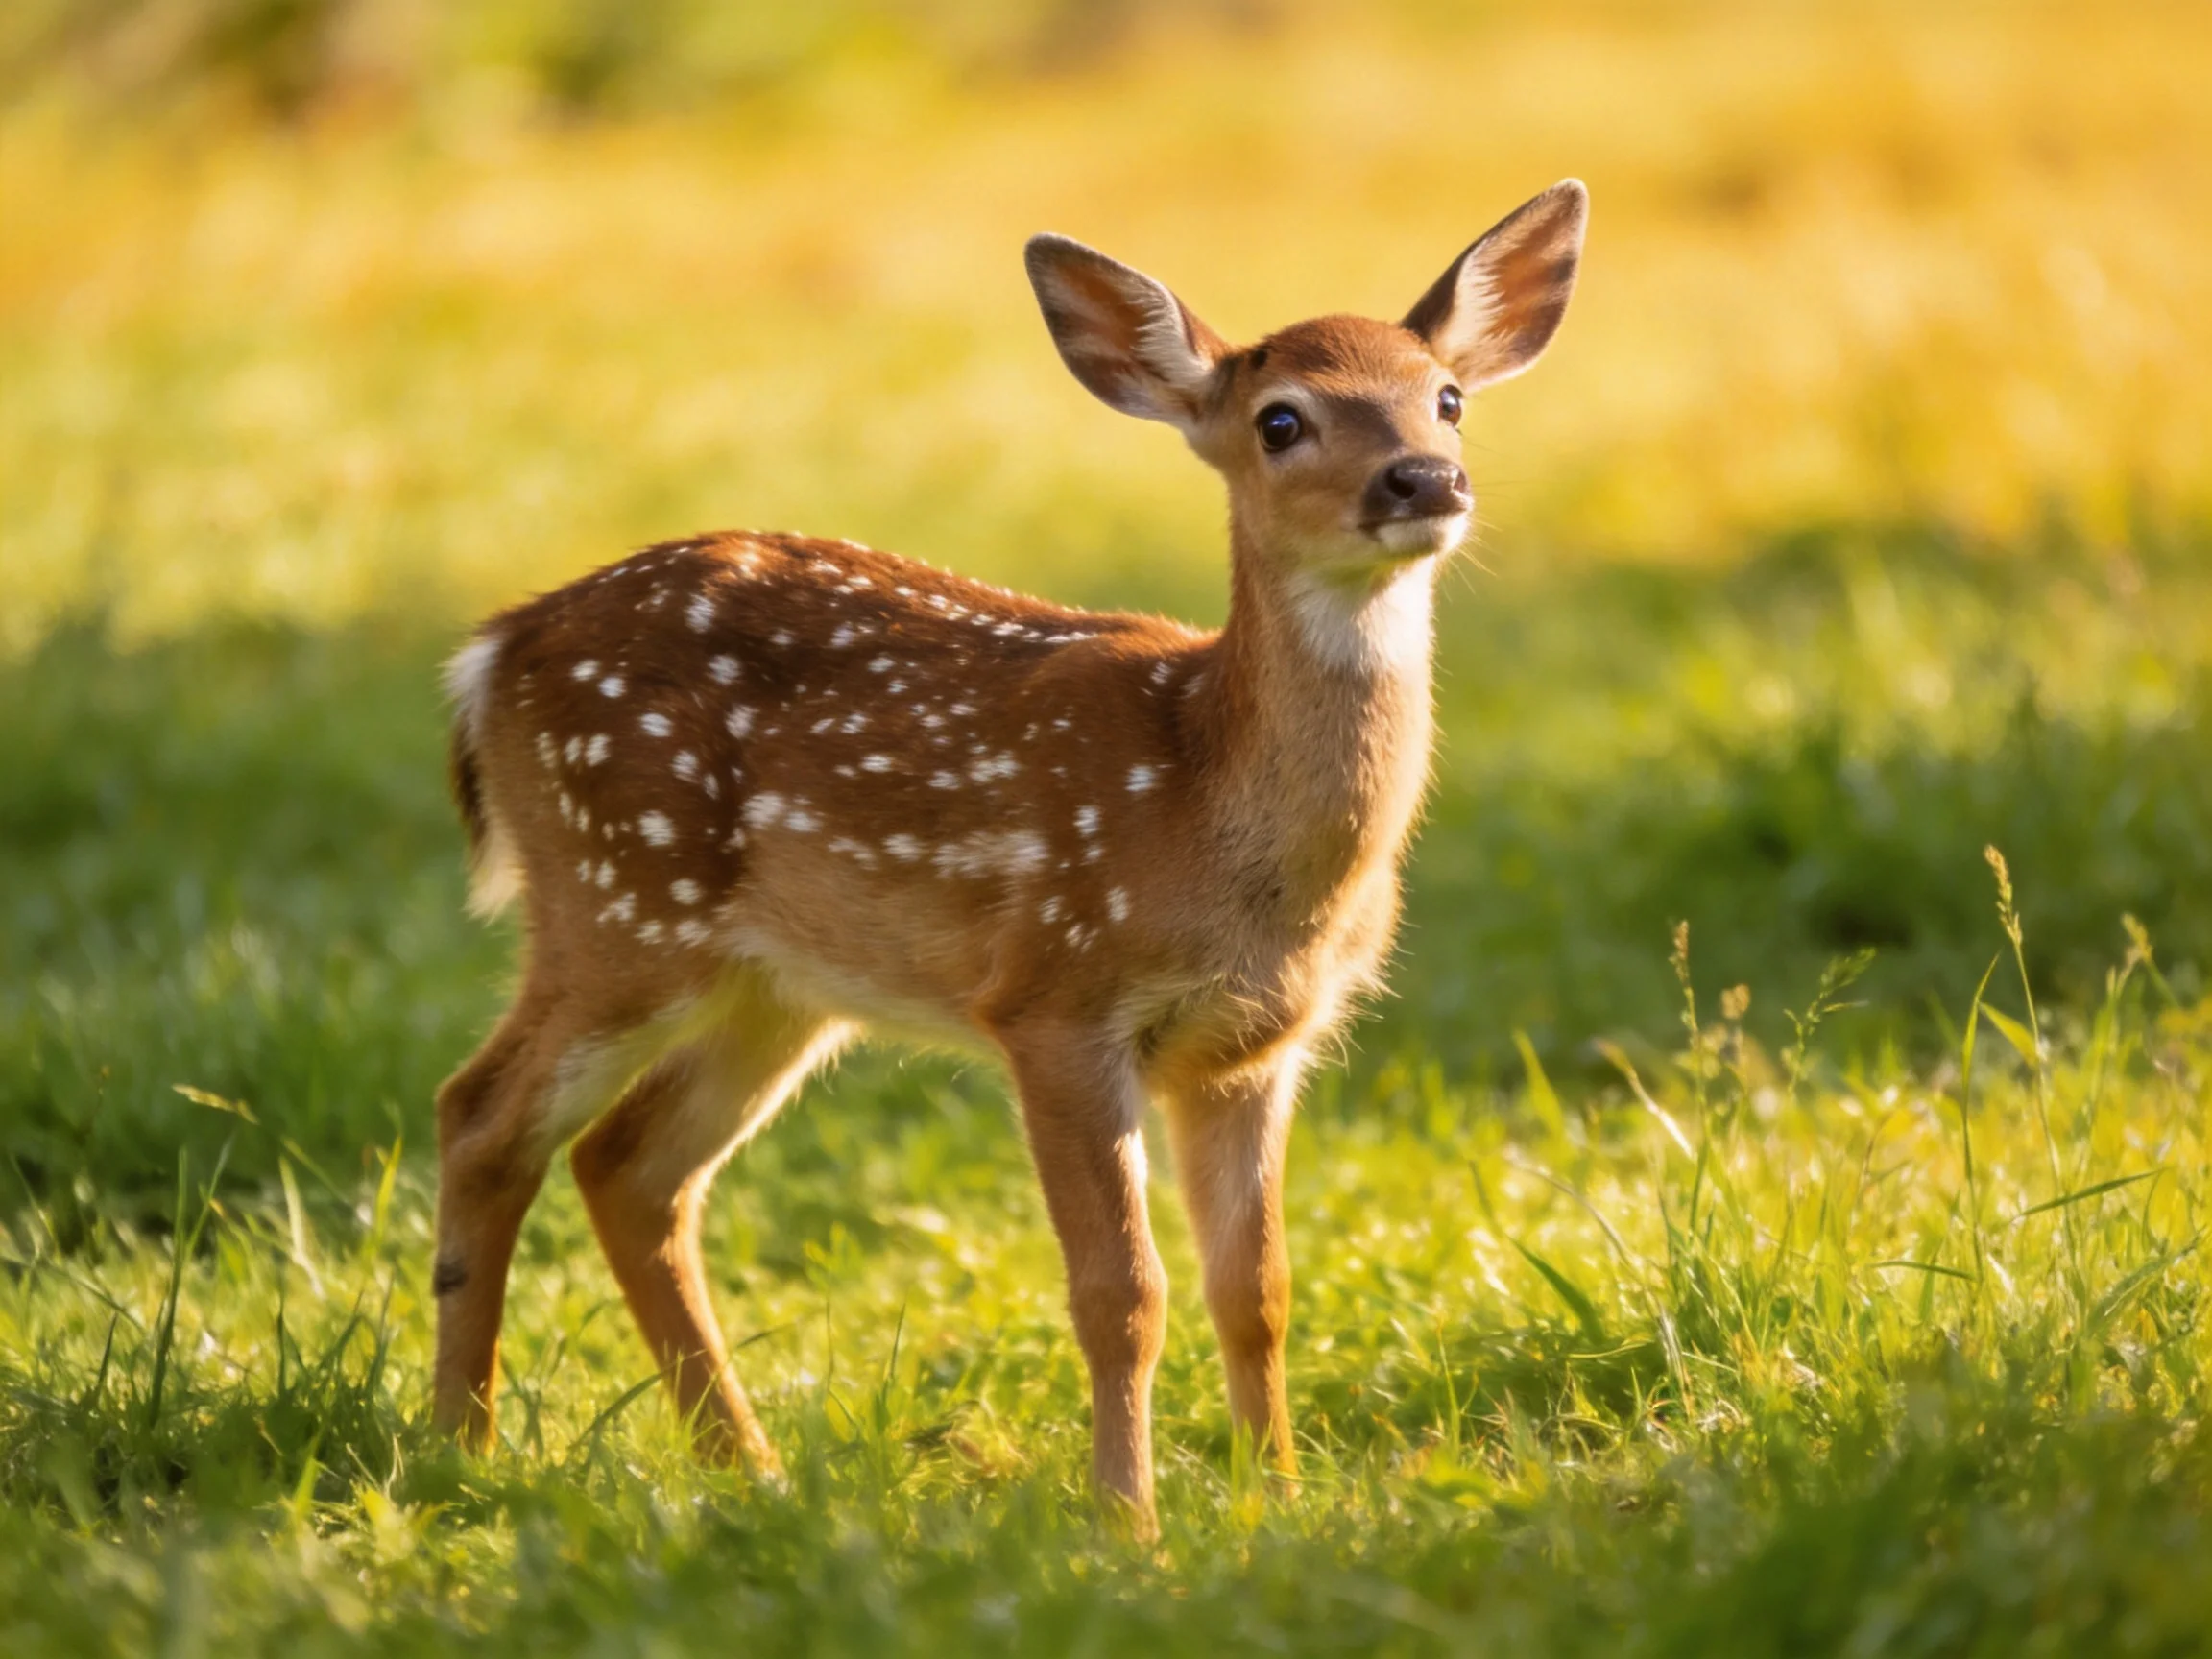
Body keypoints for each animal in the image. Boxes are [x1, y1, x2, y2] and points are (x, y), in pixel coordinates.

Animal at [432, 180, 1587, 1535]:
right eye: (1281, 420)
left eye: (1446, 396)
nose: (1424, 479)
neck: (1208, 811)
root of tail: (492, 651)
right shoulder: (1056, 999)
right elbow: (1121, 1295)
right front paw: (1128, 1524)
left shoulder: (1255, 1046)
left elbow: (1257, 1291)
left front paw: (1281, 1504)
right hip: (618, 898)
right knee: (483, 1115)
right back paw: (459, 1448)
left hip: (778, 983)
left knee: (628, 1165)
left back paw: (745, 1467)